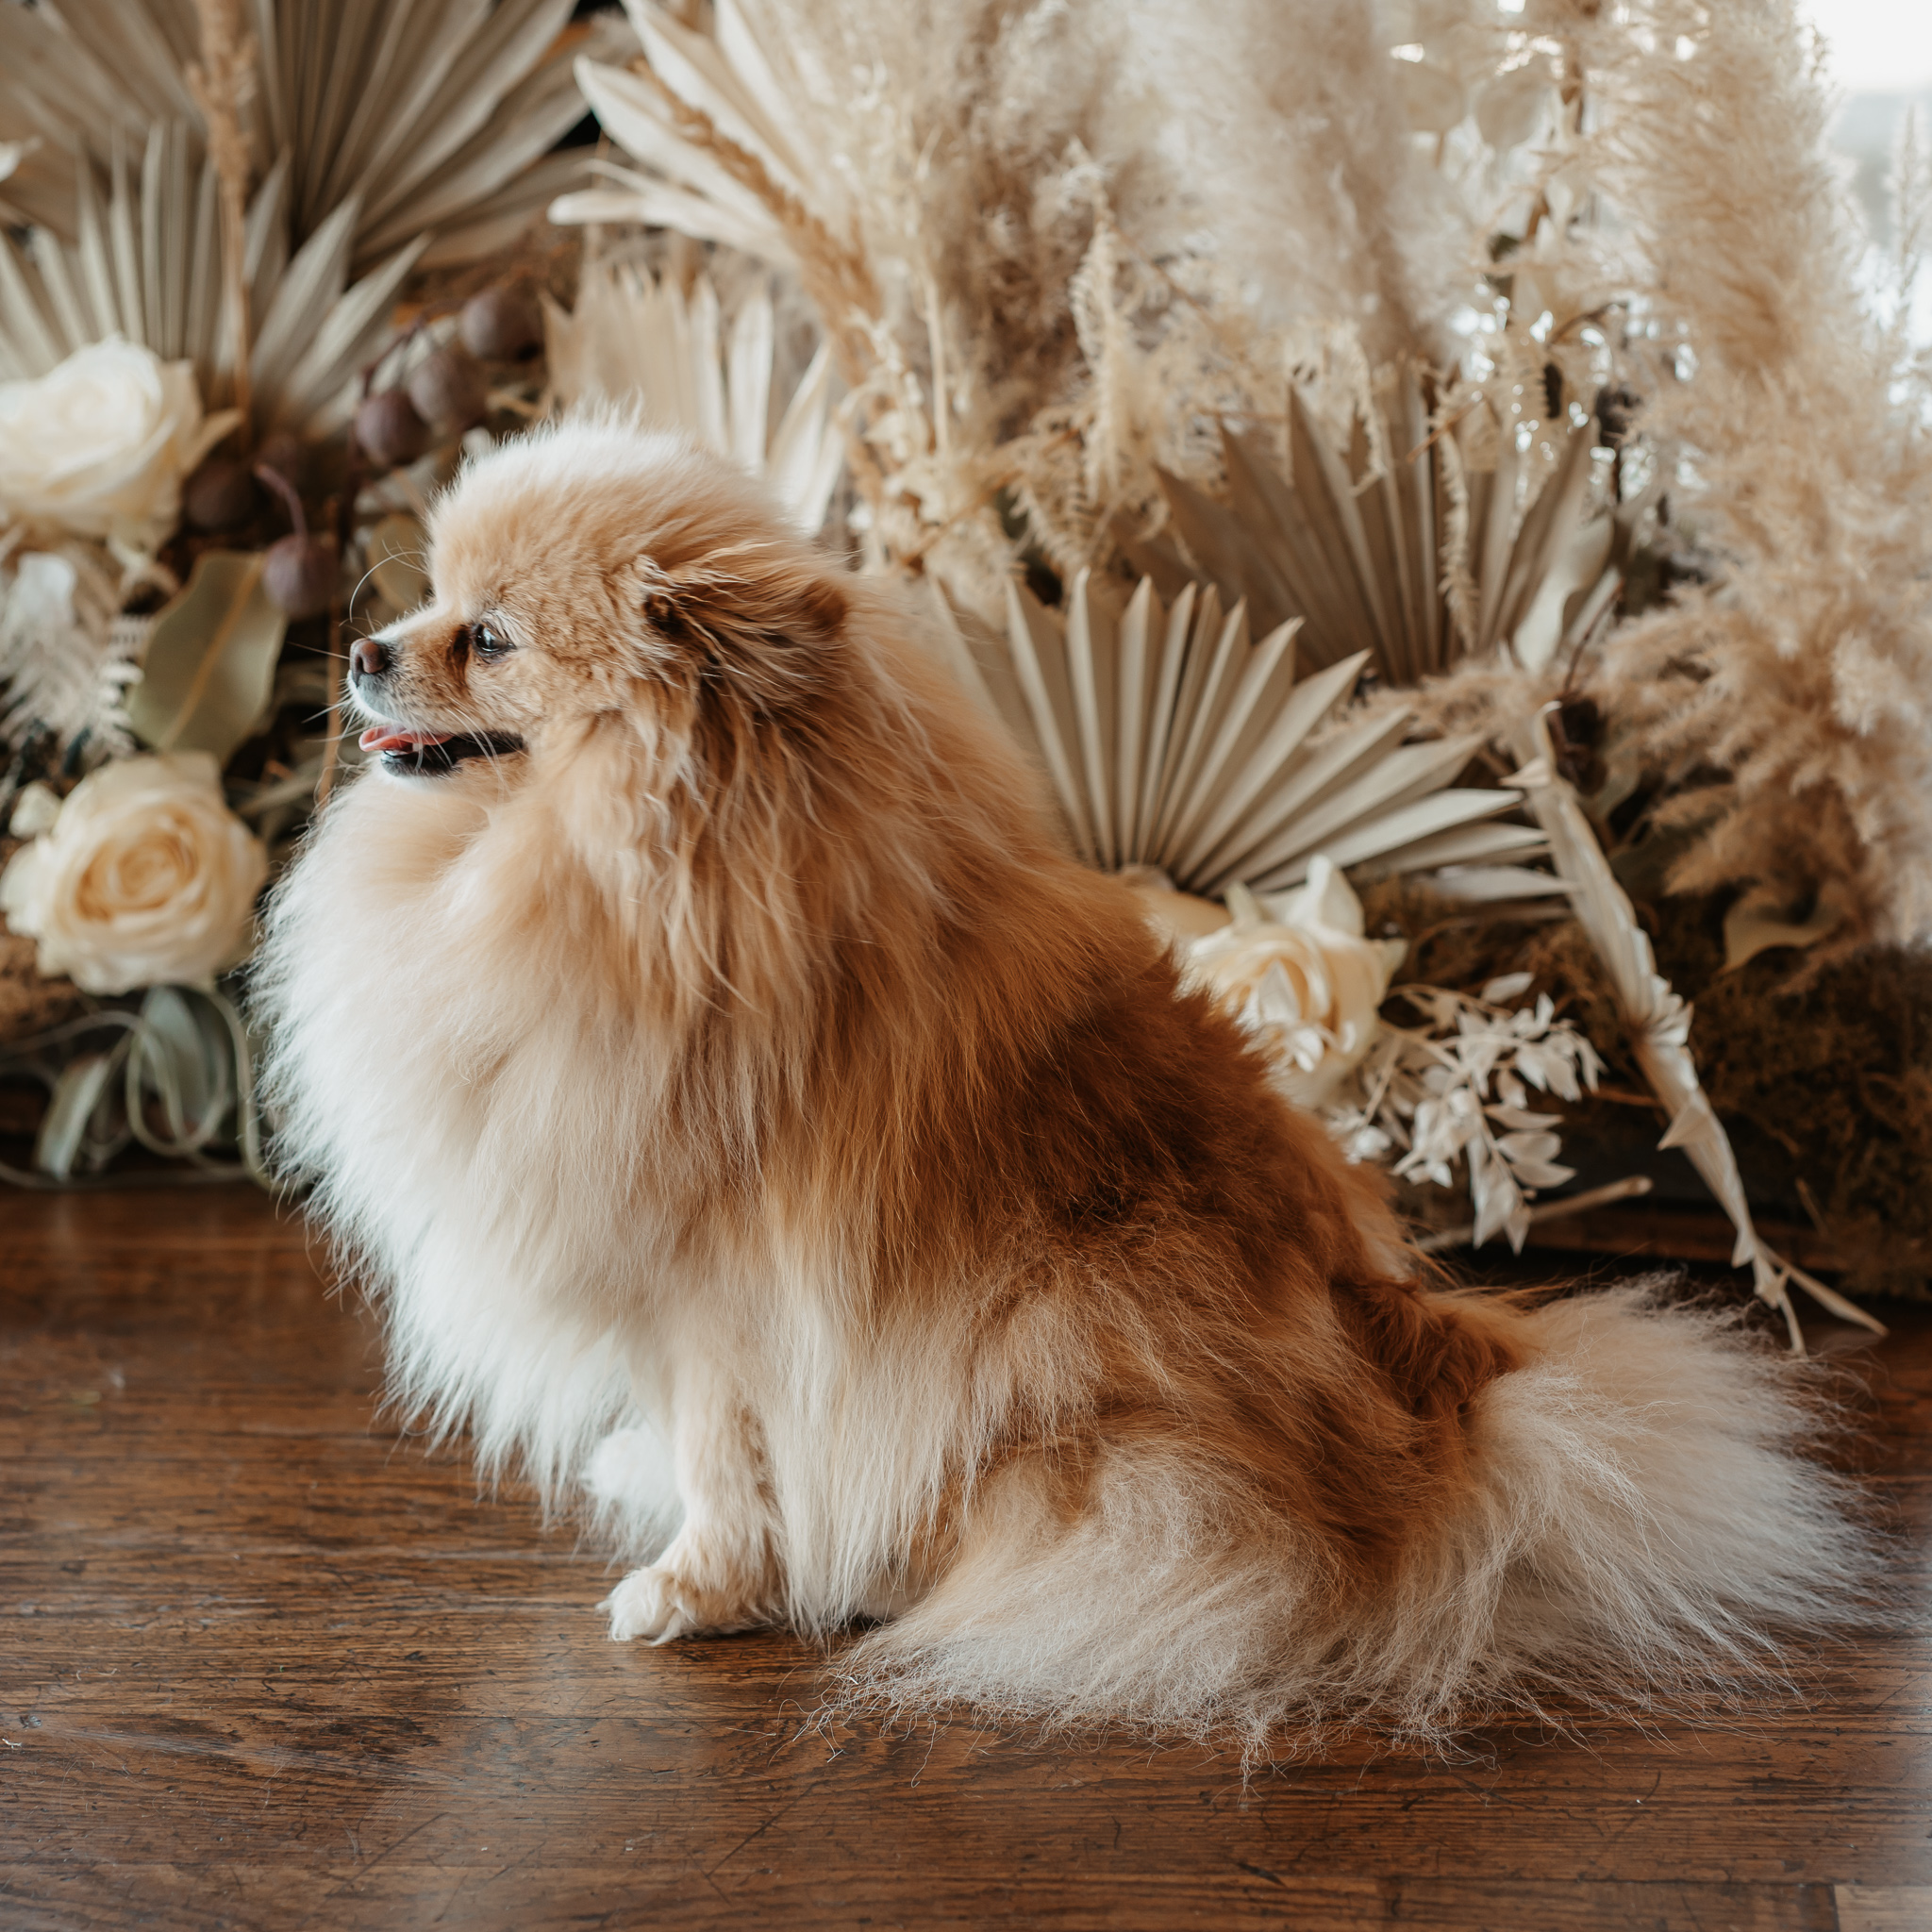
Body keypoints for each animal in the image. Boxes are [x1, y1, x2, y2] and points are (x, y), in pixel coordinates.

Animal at [257, 423, 1870, 1754]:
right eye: (428, 608)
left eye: (488, 638)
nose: (359, 649)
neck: (635, 879)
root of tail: (1445, 1405)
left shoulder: (715, 1286)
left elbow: (730, 1462)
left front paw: (698, 1589)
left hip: (1051, 1322)